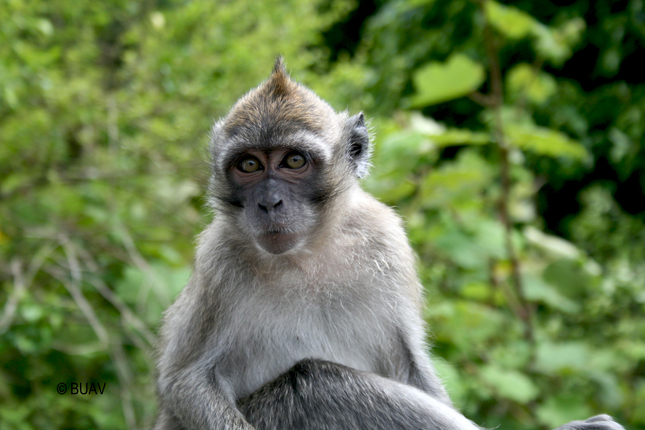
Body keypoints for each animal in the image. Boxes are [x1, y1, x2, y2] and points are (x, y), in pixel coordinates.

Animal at [151, 58, 624, 430]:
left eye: (293, 160)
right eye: (248, 165)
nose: (269, 203)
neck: (306, 253)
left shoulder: (385, 240)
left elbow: (408, 367)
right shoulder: (218, 259)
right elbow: (186, 384)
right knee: (315, 383)